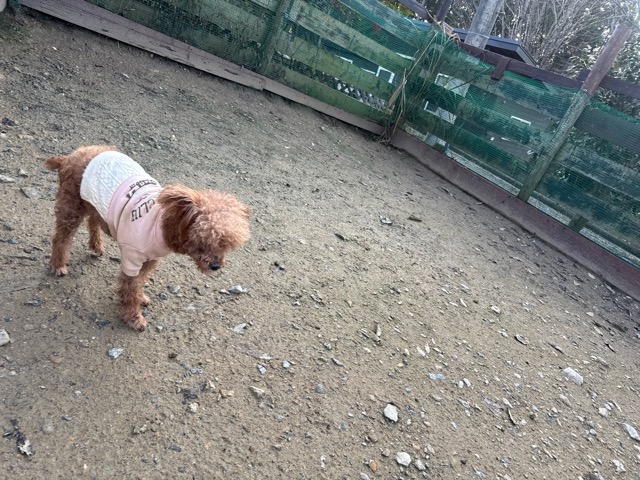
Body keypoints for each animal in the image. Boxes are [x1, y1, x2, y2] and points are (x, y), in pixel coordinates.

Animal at [45, 145, 250, 331]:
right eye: (204, 240)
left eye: (225, 245)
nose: (216, 266)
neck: (163, 226)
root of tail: (70, 157)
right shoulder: (132, 259)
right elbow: (130, 288)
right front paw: (134, 318)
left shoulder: (151, 260)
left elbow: (139, 283)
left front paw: (140, 298)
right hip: (71, 206)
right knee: (60, 239)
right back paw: (58, 265)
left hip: (92, 205)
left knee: (93, 220)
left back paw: (96, 246)